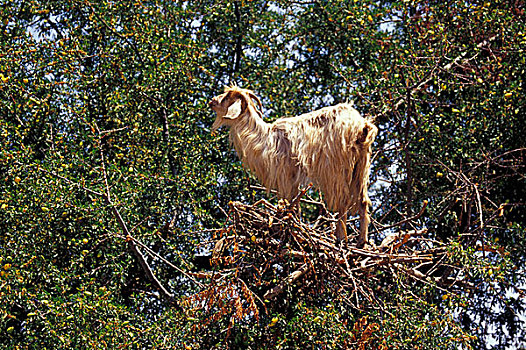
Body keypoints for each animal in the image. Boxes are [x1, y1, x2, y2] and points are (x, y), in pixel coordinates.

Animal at [210, 86, 380, 247]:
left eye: (227, 97)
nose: (212, 101)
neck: (267, 139)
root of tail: (362, 126)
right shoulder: (294, 179)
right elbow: (295, 204)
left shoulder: (286, 175)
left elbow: (290, 202)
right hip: (361, 166)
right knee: (363, 201)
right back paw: (362, 242)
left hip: (337, 168)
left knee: (342, 202)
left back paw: (340, 239)